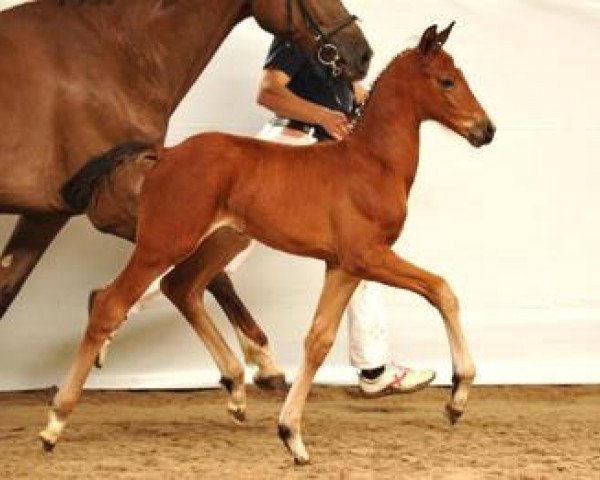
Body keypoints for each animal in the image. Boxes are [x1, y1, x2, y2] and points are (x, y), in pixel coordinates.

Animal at [0, 0, 370, 386]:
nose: (362, 54)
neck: (114, 51)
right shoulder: (125, 206)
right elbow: (211, 273)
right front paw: (263, 361)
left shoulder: (47, 213)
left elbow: (5, 288)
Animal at [39, 23, 494, 464]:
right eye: (447, 81)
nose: (486, 130)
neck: (370, 163)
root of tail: (165, 155)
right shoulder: (368, 256)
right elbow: (442, 290)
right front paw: (458, 396)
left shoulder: (343, 266)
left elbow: (318, 339)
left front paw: (291, 435)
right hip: (164, 243)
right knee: (111, 303)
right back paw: (56, 422)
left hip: (220, 242)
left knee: (181, 288)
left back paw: (237, 387)